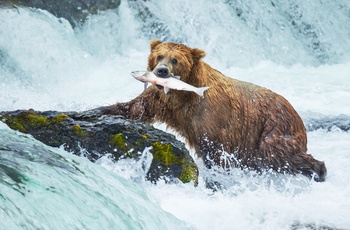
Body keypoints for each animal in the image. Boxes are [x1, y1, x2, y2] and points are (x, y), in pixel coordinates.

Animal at [100, 40, 326, 182]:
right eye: (159, 56)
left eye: (175, 60)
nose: (161, 71)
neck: (183, 94)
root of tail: (295, 112)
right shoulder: (161, 100)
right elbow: (135, 107)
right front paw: (98, 110)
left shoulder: (211, 115)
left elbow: (215, 148)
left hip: (273, 128)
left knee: (276, 154)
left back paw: (319, 170)